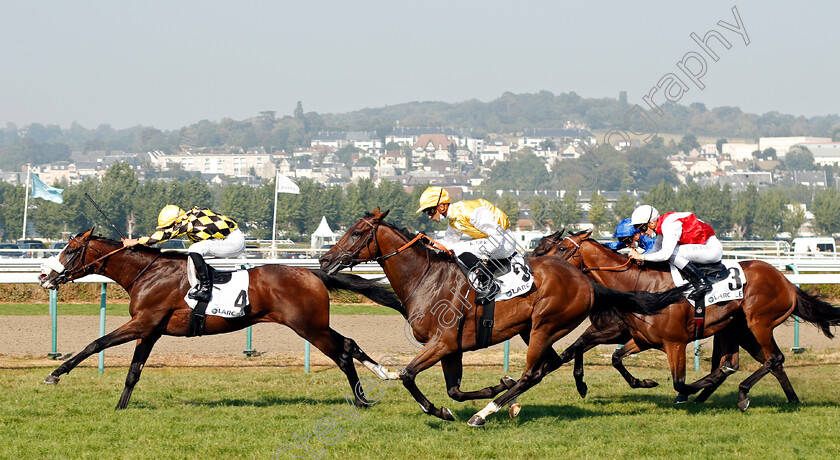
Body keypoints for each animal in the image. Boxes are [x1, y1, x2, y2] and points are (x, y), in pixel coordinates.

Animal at [38, 230, 404, 410]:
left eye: (70, 251)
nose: (44, 276)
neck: (148, 273)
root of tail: (312, 273)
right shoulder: (151, 330)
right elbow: (133, 371)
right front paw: (121, 407)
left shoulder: (143, 323)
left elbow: (95, 343)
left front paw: (55, 374)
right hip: (315, 325)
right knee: (349, 344)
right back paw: (382, 377)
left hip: (309, 327)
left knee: (342, 354)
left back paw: (362, 399)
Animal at [316, 210, 688, 426]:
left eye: (356, 233)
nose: (324, 259)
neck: (424, 277)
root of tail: (587, 282)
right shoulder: (451, 348)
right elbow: (454, 390)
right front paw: (494, 387)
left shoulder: (442, 342)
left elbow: (408, 375)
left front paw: (439, 411)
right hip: (531, 330)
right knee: (550, 364)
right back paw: (509, 400)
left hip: (545, 326)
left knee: (534, 372)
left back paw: (485, 414)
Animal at [536, 230, 836, 410]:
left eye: (560, 248)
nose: (538, 268)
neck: (638, 286)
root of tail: (786, 282)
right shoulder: (642, 339)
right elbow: (611, 357)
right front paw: (643, 383)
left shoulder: (673, 343)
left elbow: (679, 382)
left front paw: (684, 392)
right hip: (736, 330)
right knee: (752, 362)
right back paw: (790, 399)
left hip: (759, 323)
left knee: (771, 359)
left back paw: (737, 394)